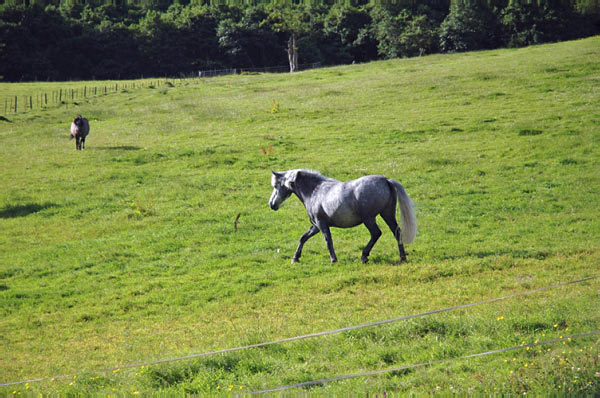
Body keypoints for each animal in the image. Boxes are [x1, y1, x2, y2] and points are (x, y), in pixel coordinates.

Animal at [270, 169, 418, 264]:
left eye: (276, 185)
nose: (271, 204)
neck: (314, 192)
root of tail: (386, 180)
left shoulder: (321, 224)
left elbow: (328, 240)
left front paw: (333, 260)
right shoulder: (316, 225)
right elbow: (303, 238)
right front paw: (295, 258)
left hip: (369, 218)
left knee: (376, 233)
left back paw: (364, 256)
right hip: (387, 214)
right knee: (397, 232)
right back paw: (402, 257)